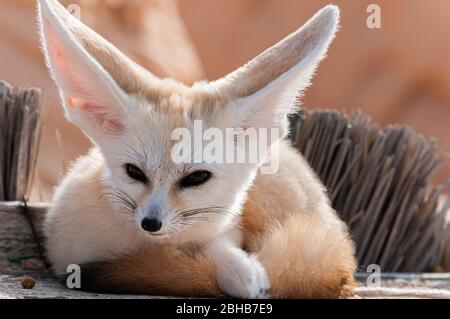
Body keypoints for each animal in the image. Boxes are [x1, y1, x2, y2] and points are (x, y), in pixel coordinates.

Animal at [38, 0, 356, 300]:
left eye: (196, 178)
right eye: (134, 172)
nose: (150, 223)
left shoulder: (227, 227)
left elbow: (215, 243)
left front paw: (240, 269)